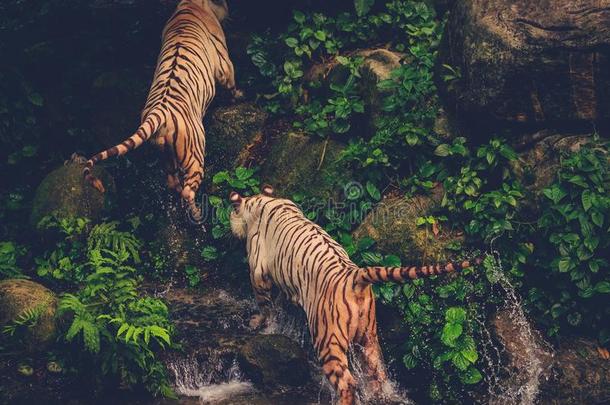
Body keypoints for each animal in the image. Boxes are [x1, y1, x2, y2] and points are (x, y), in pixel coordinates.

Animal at [83, 0, 240, 221]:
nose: (229, 10)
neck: (192, 5)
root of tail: (158, 113)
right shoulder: (224, 62)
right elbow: (231, 83)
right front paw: (239, 97)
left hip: (165, 153)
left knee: (172, 182)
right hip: (194, 153)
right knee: (188, 189)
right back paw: (197, 215)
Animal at [228, 184, 476, 404]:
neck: (263, 201)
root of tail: (355, 276)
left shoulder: (258, 272)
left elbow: (265, 306)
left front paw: (260, 324)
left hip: (327, 339)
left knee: (347, 383)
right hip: (368, 336)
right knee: (377, 373)